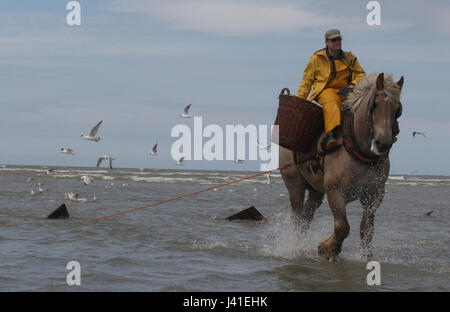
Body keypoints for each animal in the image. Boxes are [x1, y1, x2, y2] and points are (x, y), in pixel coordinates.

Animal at [278, 72, 404, 260]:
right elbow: (342, 227)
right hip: (295, 184)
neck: (358, 148)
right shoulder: (335, 192)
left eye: (397, 109)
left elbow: (366, 228)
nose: (383, 143)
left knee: (307, 216)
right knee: (298, 217)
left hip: (316, 191)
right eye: (375, 104)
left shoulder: (374, 195)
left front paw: (366, 257)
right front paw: (327, 247)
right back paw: (295, 247)